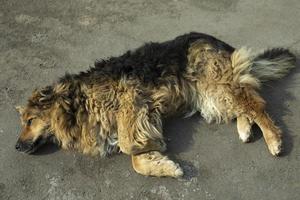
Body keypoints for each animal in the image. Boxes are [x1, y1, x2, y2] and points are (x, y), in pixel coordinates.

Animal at [15, 32, 296, 178]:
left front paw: (154, 149)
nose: (16, 147)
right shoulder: (139, 114)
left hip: (215, 84)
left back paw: (273, 139)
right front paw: (160, 163)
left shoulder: (132, 100)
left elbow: (128, 146)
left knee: (257, 105)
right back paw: (245, 129)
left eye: (30, 120)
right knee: (244, 106)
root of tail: (216, 41)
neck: (77, 102)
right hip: (210, 96)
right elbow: (136, 160)